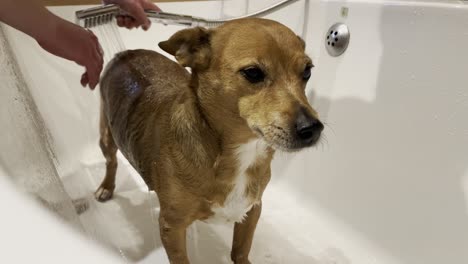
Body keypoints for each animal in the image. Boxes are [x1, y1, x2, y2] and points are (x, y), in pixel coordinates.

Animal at [95, 17, 322, 262]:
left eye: (307, 71)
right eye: (253, 73)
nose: (312, 128)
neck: (240, 153)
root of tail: (124, 54)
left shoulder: (253, 209)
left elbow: (241, 250)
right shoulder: (171, 227)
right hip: (106, 137)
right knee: (111, 161)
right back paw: (106, 187)